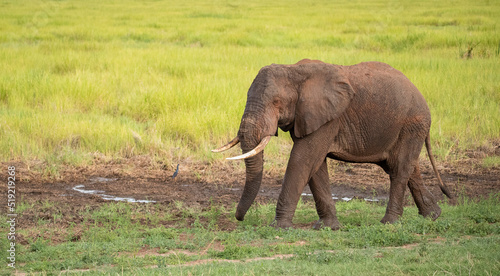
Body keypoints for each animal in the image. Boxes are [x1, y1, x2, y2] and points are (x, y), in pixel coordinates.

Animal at [213, 58, 456, 229]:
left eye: (276, 102)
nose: (240, 219)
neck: (294, 70)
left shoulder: (328, 118)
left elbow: (303, 160)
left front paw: (278, 227)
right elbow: (315, 166)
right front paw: (328, 227)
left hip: (412, 123)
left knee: (399, 168)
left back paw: (390, 223)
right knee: (406, 167)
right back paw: (433, 216)